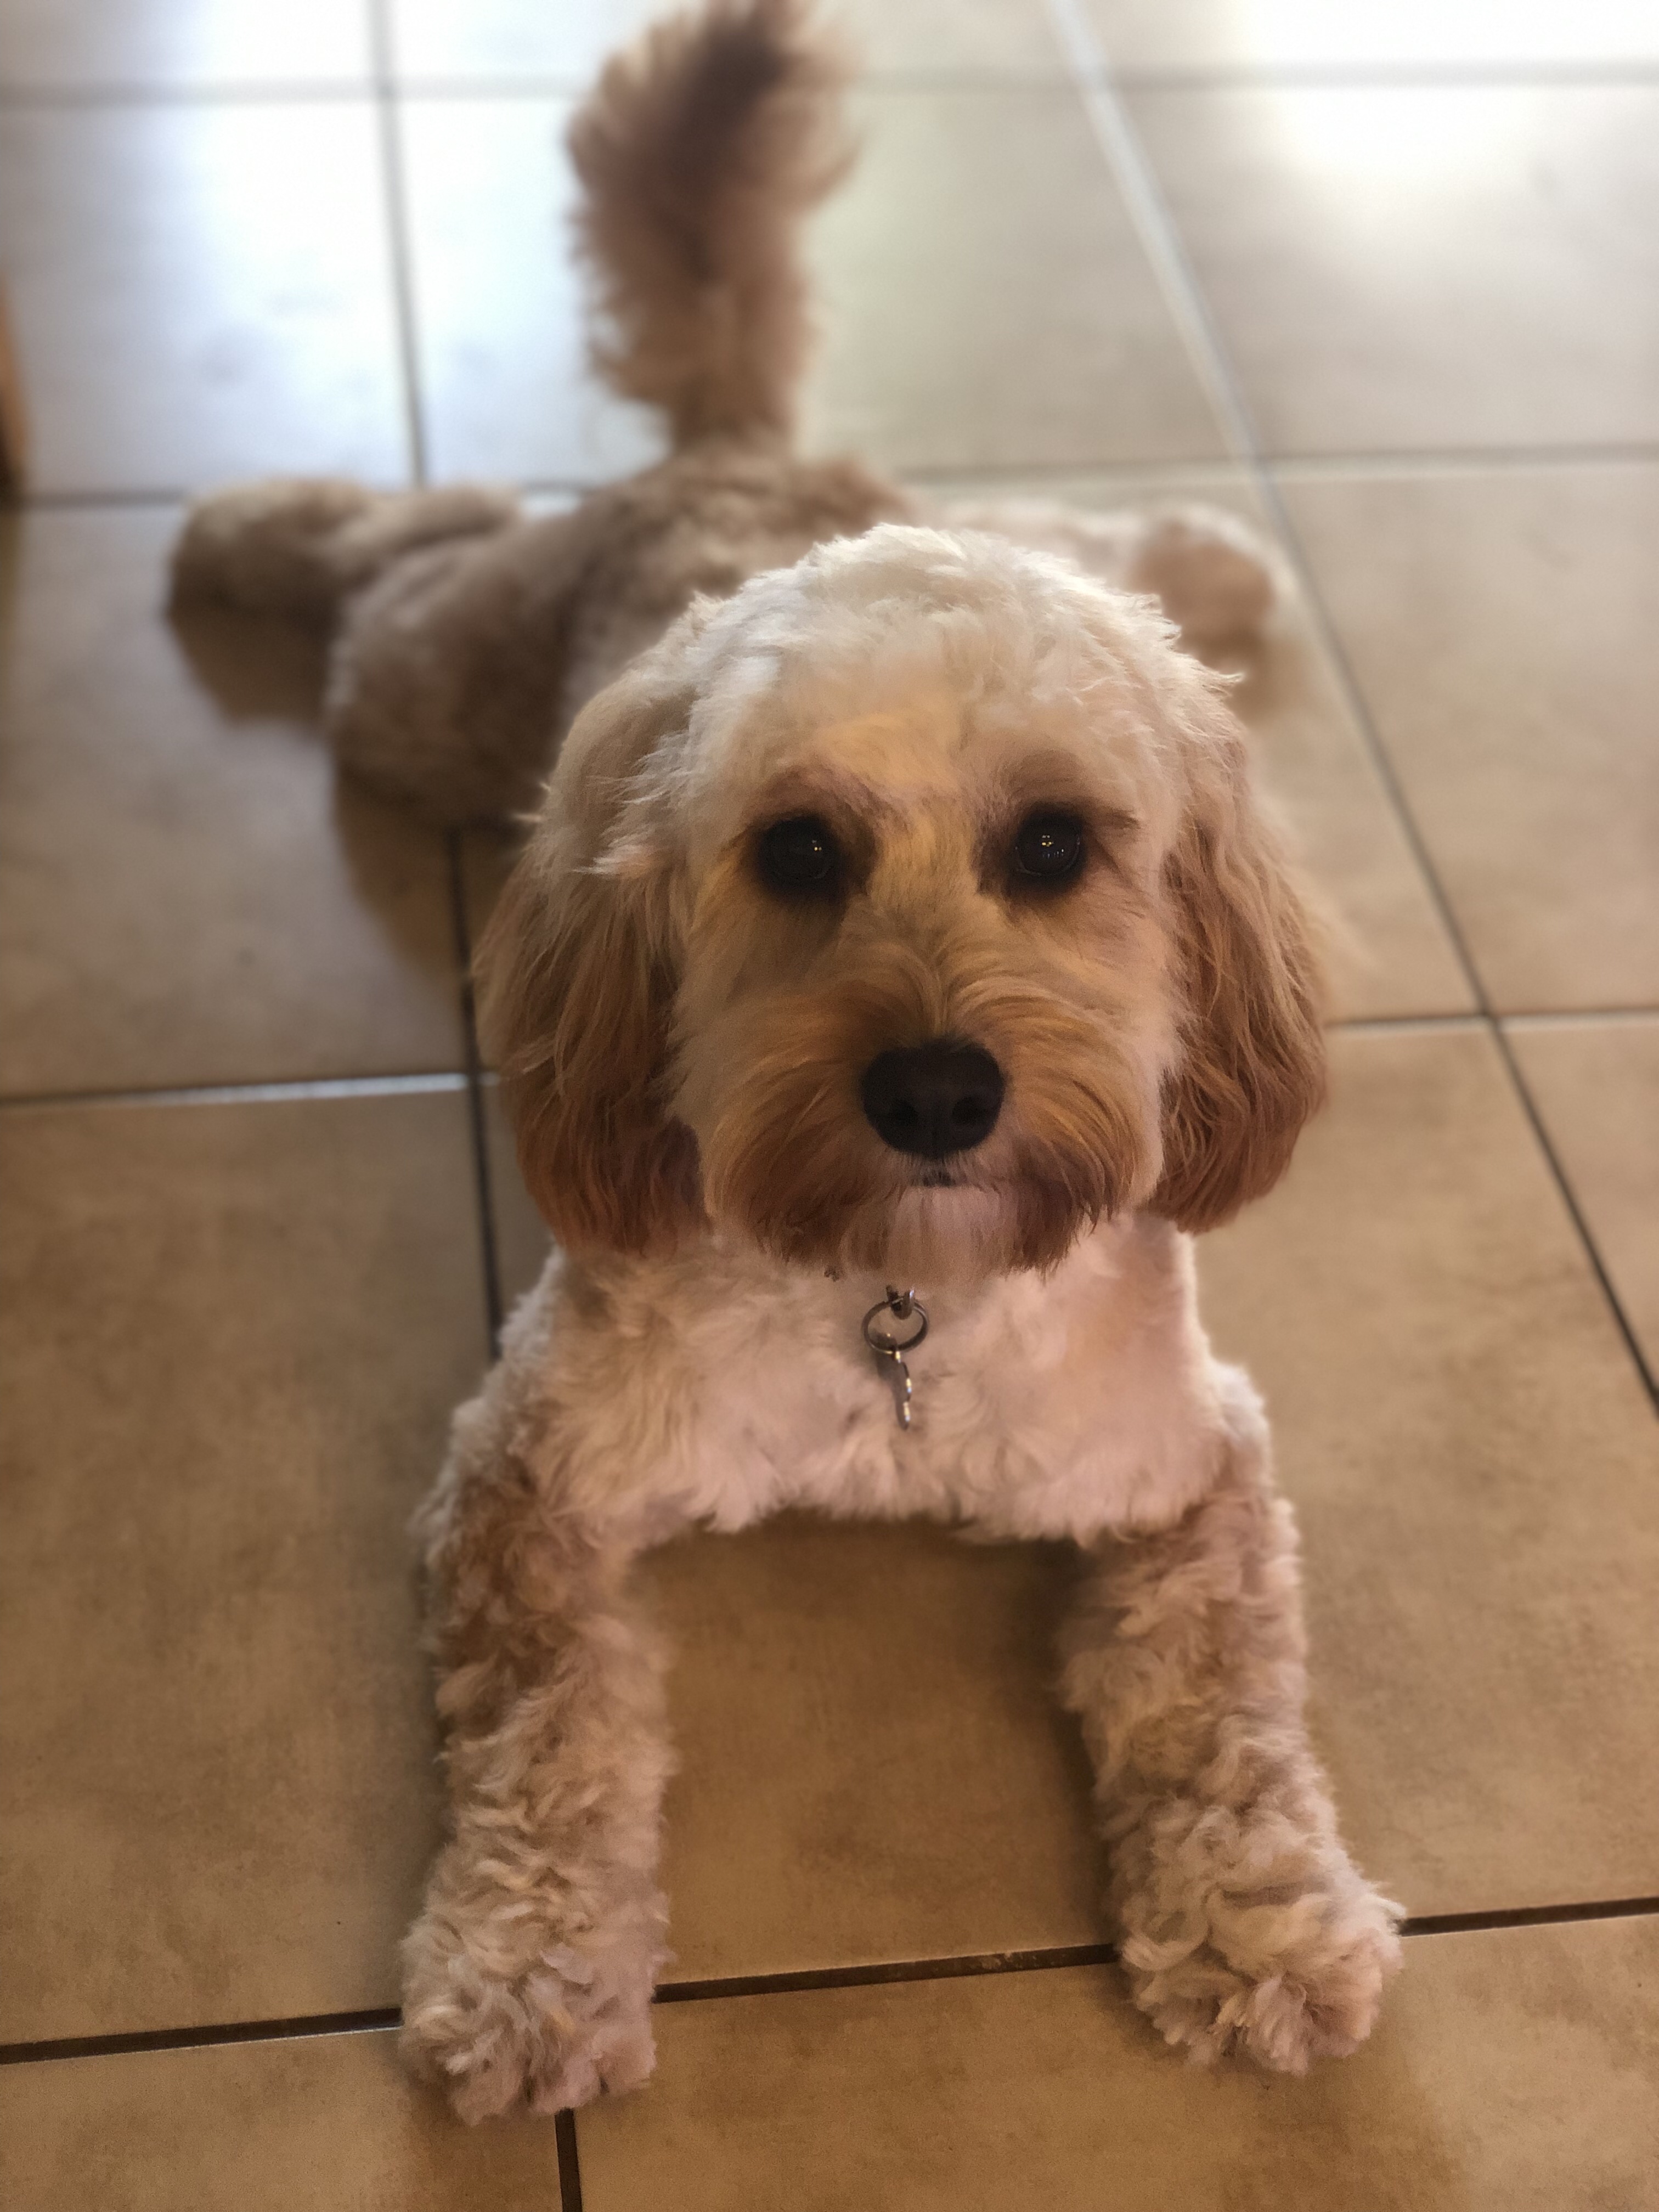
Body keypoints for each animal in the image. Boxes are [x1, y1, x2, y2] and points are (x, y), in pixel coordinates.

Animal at [171, 0, 1401, 2124]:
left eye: (1055, 844)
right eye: (797, 852)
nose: (938, 1094)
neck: (893, 1301)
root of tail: (747, 456)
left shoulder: (1187, 1466)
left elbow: (1223, 1706)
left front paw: (1263, 1919)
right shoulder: (532, 1481)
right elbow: (547, 1743)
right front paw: (525, 1965)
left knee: (1078, 539)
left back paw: (1207, 553)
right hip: (421, 689)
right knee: (418, 541)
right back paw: (256, 530)